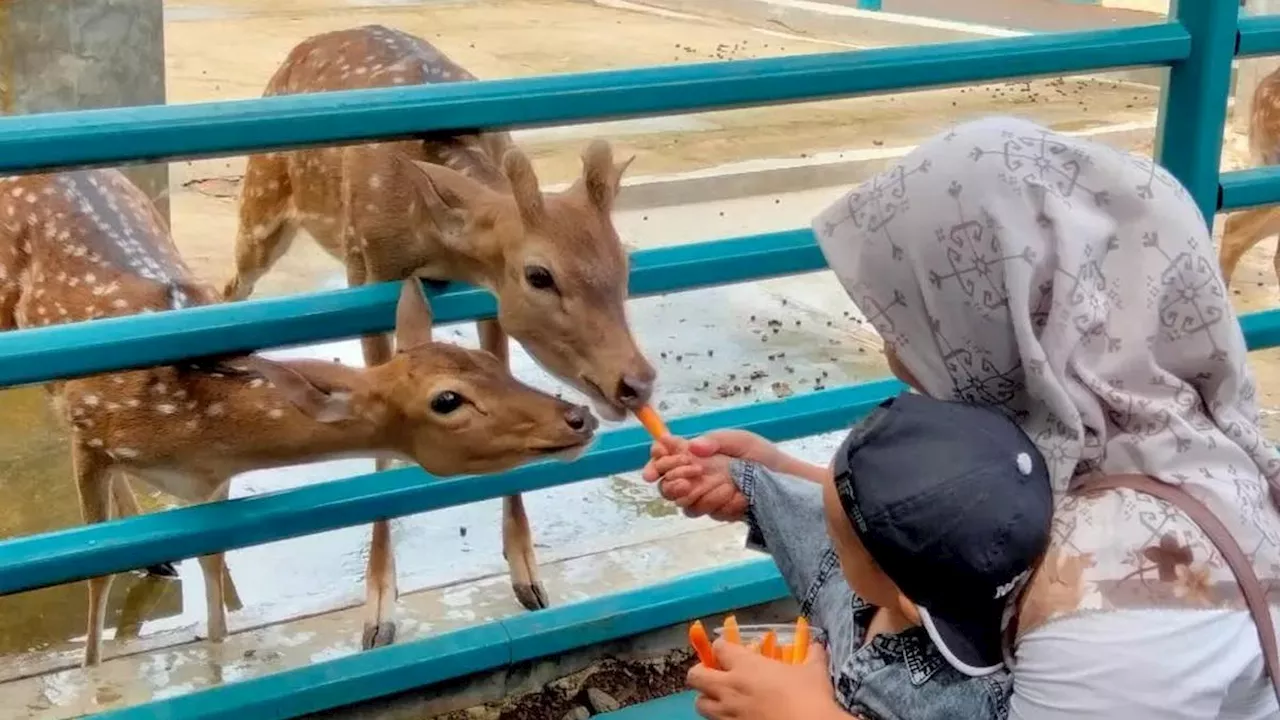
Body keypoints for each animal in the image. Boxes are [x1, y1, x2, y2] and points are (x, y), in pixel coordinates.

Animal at [0, 165, 599, 666]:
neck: (191, 430)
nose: (579, 417)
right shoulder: (91, 436)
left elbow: (212, 568)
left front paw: (214, 652)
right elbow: (98, 576)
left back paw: (157, 561)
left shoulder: (210, 484)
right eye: (447, 400)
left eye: (490, 363)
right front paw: (92, 671)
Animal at [221, 25, 655, 648]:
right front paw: (378, 613)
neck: (431, 237)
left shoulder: (488, 298)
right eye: (539, 275)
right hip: (259, 204)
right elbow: (379, 440)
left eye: (625, 264)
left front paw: (529, 578)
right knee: (230, 287)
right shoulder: (366, 271)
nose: (636, 383)